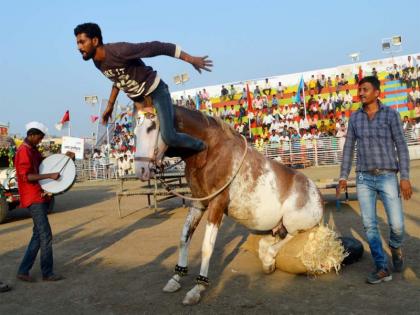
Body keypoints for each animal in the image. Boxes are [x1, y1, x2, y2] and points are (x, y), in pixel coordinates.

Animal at [133, 106, 324, 306]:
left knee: (289, 237)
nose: (141, 170)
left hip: (292, 222)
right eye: (134, 131)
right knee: (271, 239)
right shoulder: (198, 201)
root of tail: (317, 196)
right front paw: (176, 277)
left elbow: (207, 247)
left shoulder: (217, 202)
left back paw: (268, 259)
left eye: (151, 128)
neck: (209, 150)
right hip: (274, 226)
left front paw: (198, 288)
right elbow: (184, 238)